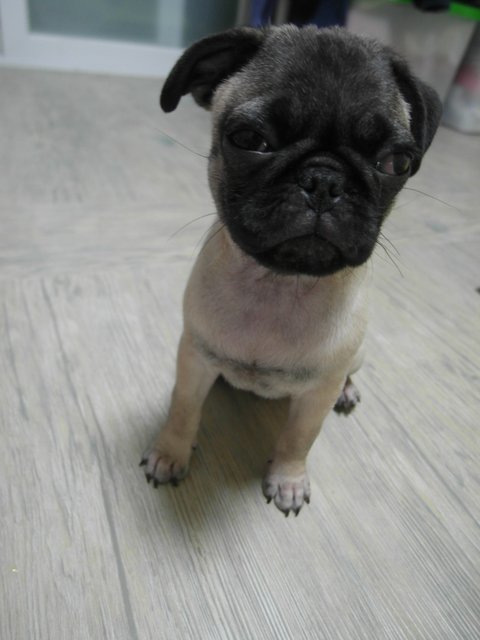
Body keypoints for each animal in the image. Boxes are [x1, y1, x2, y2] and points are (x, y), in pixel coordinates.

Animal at [140, 25, 441, 516]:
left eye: (396, 163)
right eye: (249, 138)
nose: (324, 180)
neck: (280, 285)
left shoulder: (315, 395)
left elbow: (299, 438)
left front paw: (288, 479)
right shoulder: (195, 358)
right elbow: (183, 409)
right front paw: (170, 452)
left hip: (357, 355)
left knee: (347, 375)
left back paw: (348, 391)